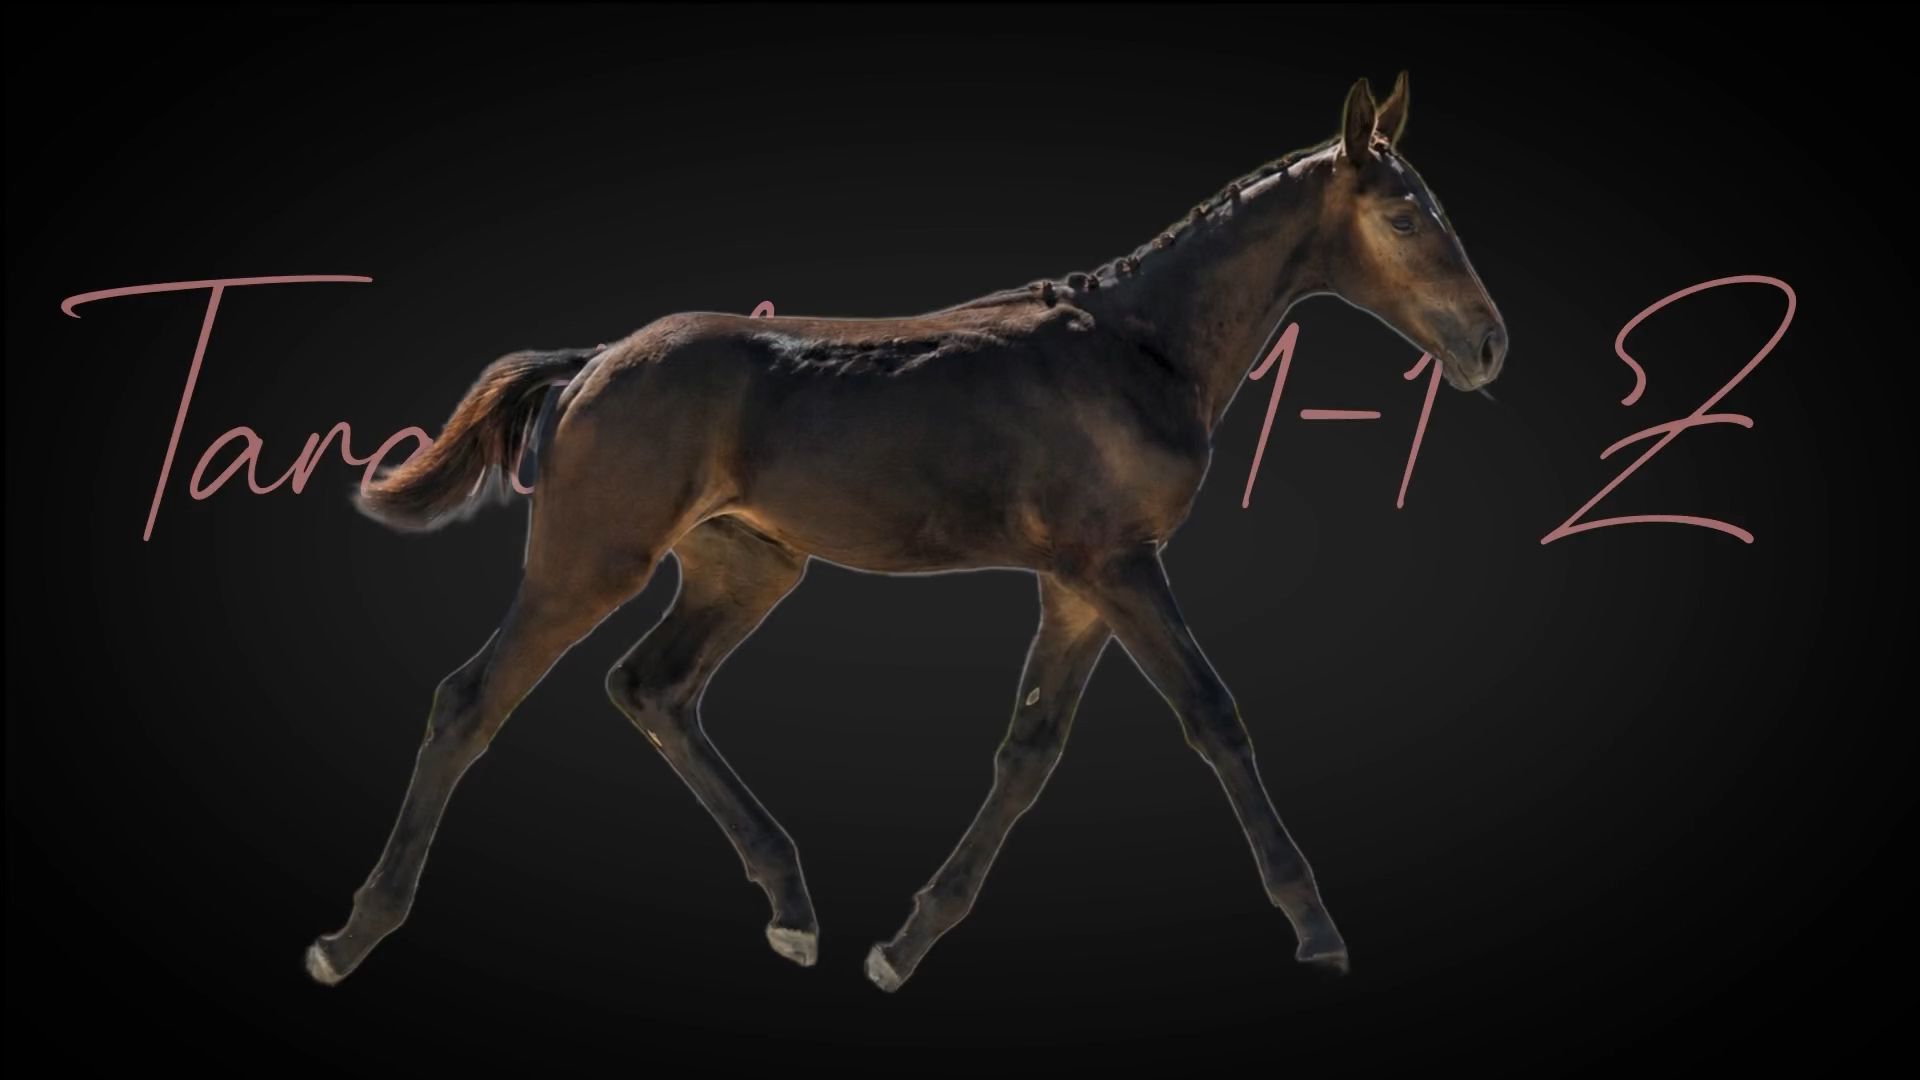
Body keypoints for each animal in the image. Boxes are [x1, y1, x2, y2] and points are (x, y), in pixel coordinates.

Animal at [304, 73, 1508, 993]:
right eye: (1407, 218)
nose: (1490, 344)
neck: (1136, 347)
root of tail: (594, 360)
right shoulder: (1118, 563)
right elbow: (1212, 716)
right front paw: (1317, 928)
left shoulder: (1075, 582)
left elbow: (1028, 751)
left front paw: (905, 942)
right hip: (592, 558)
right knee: (472, 699)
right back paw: (351, 934)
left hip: (747, 566)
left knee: (652, 688)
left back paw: (793, 906)